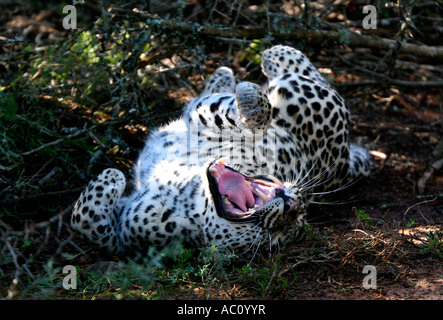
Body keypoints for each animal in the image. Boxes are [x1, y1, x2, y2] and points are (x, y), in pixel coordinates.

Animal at [71, 45, 372, 264]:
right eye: (288, 225)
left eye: (278, 234)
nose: (292, 207)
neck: (192, 190)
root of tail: (342, 166)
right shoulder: (206, 120)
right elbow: (242, 111)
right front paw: (248, 101)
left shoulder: (125, 237)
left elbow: (88, 222)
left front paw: (111, 177)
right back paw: (230, 73)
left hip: (302, 96)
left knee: (309, 76)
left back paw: (272, 55)